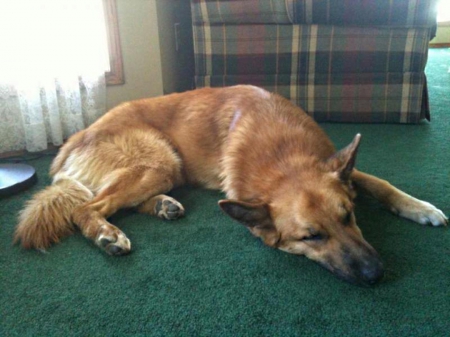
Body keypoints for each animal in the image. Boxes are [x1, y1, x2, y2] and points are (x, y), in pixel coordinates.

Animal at [14, 84, 446, 284]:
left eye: (349, 217)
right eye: (311, 237)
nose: (376, 274)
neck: (283, 157)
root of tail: (69, 143)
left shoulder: (342, 171)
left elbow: (382, 183)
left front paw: (421, 208)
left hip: (165, 168)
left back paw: (163, 205)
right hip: (160, 159)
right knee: (85, 207)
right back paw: (106, 233)